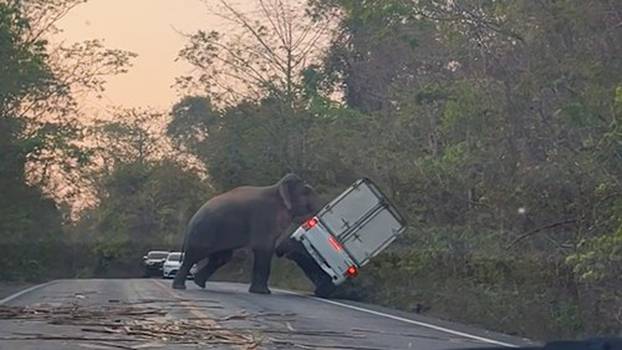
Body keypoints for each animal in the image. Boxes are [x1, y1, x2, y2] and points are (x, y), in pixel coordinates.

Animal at [174, 174, 324, 294]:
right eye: (307, 190)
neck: (277, 188)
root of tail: (191, 220)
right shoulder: (263, 217)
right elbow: (264, 248)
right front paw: (263, 293)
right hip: (203, 233)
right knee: (194, 256)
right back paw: (180, 287)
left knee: (221, 258)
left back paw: (199, 283)